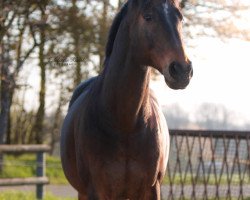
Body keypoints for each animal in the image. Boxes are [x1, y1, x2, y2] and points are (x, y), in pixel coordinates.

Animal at [61, 0, 193, 198]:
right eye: (148, 16)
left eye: (180, 17)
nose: (182, 70)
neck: (125, 125)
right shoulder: (95, 190)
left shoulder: (152, 189)